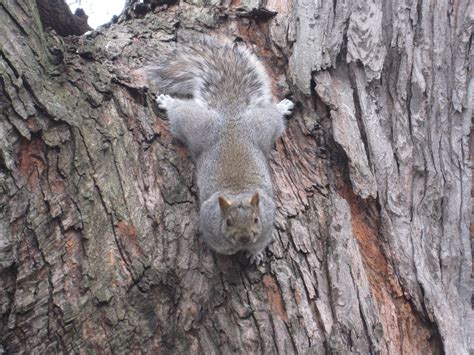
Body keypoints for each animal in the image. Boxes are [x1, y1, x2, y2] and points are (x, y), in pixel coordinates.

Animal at [146, 38, 292, 264]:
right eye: (228, 221)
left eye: (256, 219)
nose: (244, 238)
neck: (238, 193)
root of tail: (230, 115)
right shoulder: (208, 223)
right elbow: (220, 246)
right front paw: (233, 250)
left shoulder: (268, 220)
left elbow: (262, 241)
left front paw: (256, 253)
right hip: (195, 124)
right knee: (179, 111)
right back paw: (167, 102)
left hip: (263, 125)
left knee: (273, 114)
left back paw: (282, 107)